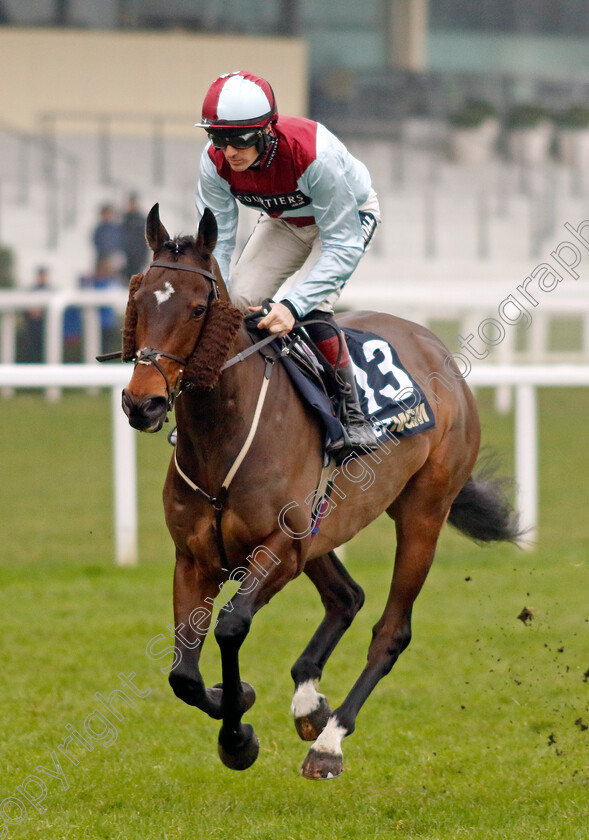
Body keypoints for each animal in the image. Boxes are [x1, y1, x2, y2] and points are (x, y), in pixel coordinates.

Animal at [120, 205, 520, 780]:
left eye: (197, 308)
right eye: (138, 299)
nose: (142, 403)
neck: (224, 438)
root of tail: (435, 345)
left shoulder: (280, 548)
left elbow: (231, 627)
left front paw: (237, 735)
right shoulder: (195, 557)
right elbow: (184, 676)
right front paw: (237, 700)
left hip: (422, 511)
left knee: (391, 631)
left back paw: (329, 741)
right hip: (322, 527)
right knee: (346, 596)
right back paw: (310, 704)